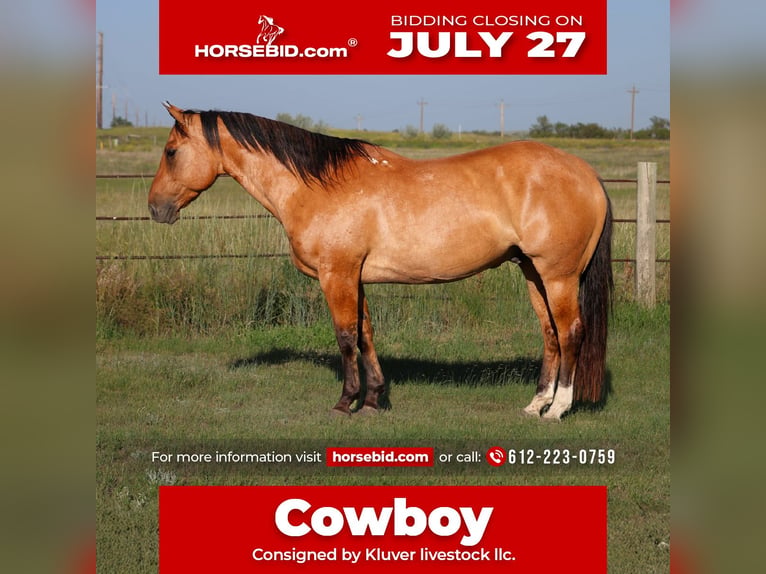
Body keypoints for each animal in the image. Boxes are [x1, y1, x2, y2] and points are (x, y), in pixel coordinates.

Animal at [148, 102, 613, 420]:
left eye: (171, 152)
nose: (155, 208)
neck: (318, 186)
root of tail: (585, 173)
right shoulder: (354, 277)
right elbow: (366, 334)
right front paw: (373, 399)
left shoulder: (336, 275)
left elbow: (345, 337)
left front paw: (344, 402)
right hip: (533, 273)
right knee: (550, 334)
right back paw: (536, 404)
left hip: (559, 275)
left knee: (571, 333)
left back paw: (558, 409)